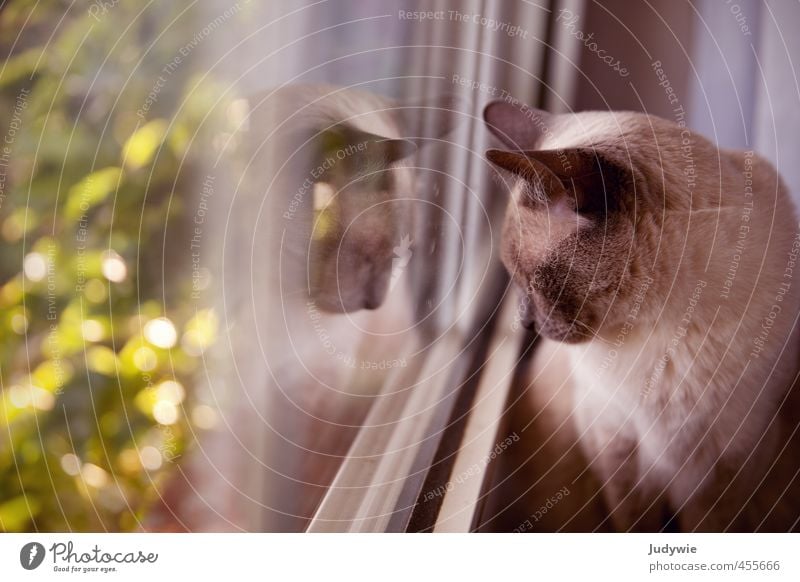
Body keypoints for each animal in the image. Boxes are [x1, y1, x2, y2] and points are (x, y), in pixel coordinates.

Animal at [484, 99, 796, 532]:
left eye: (532, 282)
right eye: (514, 278)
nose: (527, 324)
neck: (661, 327)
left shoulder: (727, 461)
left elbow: (711, 525)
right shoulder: (616, 445)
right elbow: (633, 521)